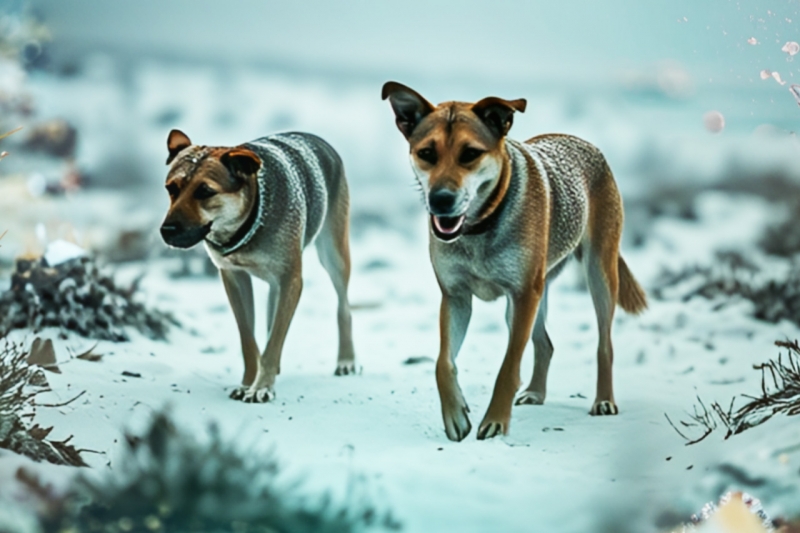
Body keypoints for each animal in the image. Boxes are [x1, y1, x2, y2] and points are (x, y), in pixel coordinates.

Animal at [159, 131, 356, 402]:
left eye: (205, 191)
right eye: (171, 188)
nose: (167, 230)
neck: (249, 221)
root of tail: (318, 139)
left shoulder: (291, 279)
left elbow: (275, 340)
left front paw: (262, 386)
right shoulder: (234, 278)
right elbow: (248, 339)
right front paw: (248, 382)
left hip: (333, 253)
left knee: (343, 307)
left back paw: (346, 360)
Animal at [382, 82, 648, 440]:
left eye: (470, 154)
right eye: (426, 153)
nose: (440, 200)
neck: (480, 225)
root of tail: (583, 142)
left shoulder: (522, 294)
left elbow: (508, 367)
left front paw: (495, 421)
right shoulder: (456, 297)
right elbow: (442, 362)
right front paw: (455, 413)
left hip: (597, 273)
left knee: (604, 343)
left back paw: (603, 400)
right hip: (536, 291)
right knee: (545, 344)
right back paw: (535, 392)